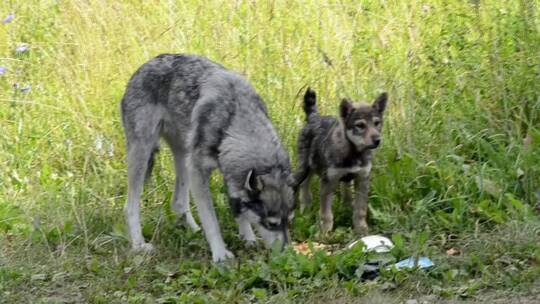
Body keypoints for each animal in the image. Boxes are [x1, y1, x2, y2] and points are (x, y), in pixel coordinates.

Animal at [121, 54, 296, 262]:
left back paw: (195, 231)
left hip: (183, 158)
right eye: (271, 224)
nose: (288, 256)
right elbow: (212, 221)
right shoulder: (199, 172)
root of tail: (146, 64)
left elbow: (239, 211)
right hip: (143, 154)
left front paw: (248, 239)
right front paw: (220, 255)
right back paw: (139, 244)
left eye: (289, 222)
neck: (234, 118)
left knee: (178, 203)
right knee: (130, 206)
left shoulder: (228, 174)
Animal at [294, 88, 386, 235]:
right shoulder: (328, 182)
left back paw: (346, 208)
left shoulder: (362, 179)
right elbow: (326, 214)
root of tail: (314, 117)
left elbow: (360, 210)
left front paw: (361, 229)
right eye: (360, 125)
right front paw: (324, 232)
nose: (377, 140)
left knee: (346, 191)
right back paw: (306, 209)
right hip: (306, 167)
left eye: (377, 123)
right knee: (304, 187)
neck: (354, 152)